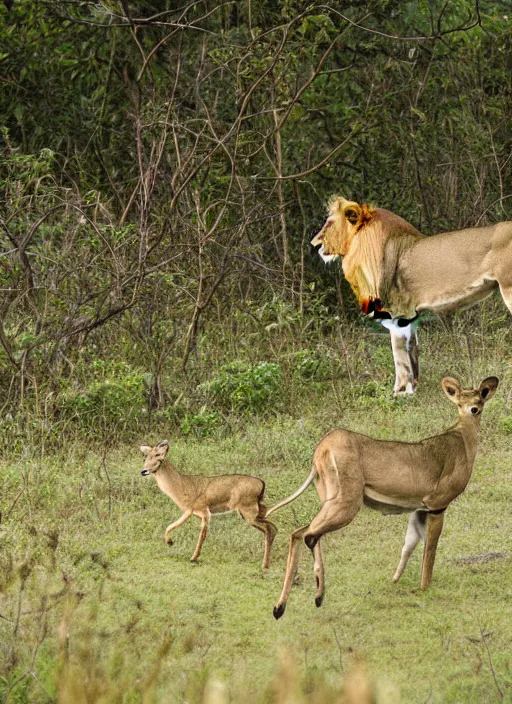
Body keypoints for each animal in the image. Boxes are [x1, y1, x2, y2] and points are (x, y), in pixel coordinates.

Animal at [272, 376, 500, 620]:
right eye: (460, 402)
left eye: (479, 398)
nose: (473, 409)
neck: (464, 441)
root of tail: (320, 452)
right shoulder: (438, 504)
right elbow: (430, 550)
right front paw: (424, 588)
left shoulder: (420, 508)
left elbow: (408, 546)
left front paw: (395, 580)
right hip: (347, 501)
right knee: (308, 534)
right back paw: (312, 596)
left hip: (330, 500)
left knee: (300, 533)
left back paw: (286, 606)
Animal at [312, 198, 512, 396]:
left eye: (329, 223)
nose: (314, 243)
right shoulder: (409, 314)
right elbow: (412, 352)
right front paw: (413, 388)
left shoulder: (398, 312)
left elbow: (399, 355)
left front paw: (399, 393)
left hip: (508, 288)